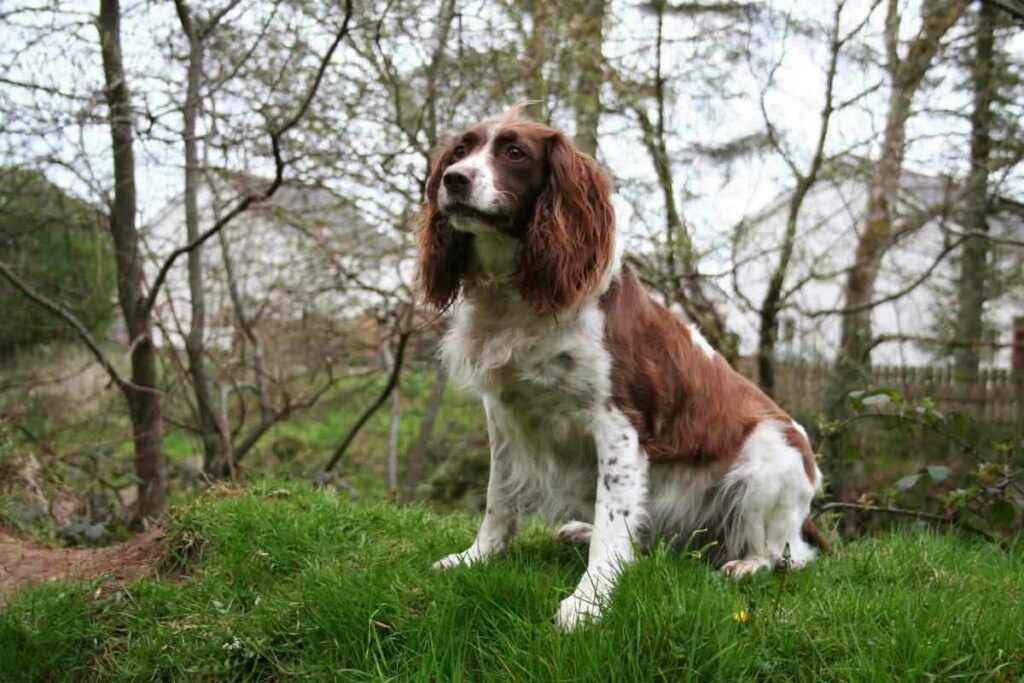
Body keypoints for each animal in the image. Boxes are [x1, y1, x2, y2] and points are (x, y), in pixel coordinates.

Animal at [415, 111, 823, 630]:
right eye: (460, 150)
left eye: (515, 153)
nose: (454, 179)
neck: (520, 293)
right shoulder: (505, 414)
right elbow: (498, 498)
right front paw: (476, 557)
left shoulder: (619, 424)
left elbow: (614, 520)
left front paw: (587, 603)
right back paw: (580, 531)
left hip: (768, 461)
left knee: (786, 555)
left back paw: (746, 564)